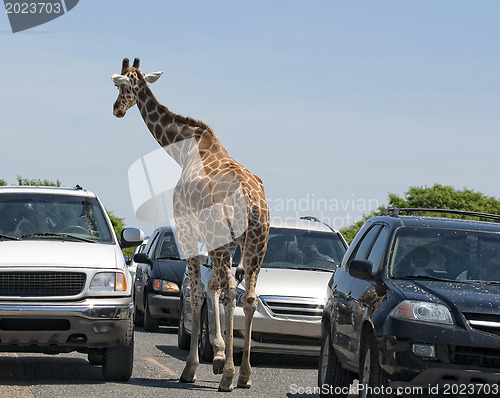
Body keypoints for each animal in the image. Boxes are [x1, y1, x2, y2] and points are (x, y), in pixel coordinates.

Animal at [112, 59, 272, 392]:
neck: (183, 149)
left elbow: (197, 291)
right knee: (248, 296)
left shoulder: (186, 230)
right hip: (256, 244)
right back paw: (245, 375)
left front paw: (195, 367)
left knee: (230, 290)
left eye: (120, 87)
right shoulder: (214, 241)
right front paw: (219, 355)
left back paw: (228, 378)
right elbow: (209, 287)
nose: (116, 109)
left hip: (227, 240)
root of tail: (251, 199)